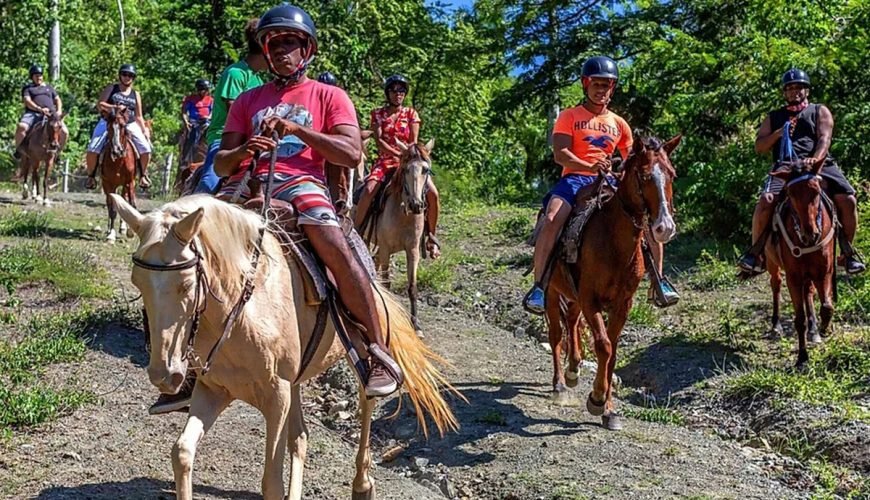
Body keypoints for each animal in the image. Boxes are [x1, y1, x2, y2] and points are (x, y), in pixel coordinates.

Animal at [99, 106, 138, 241]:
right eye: (108, 127)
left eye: (122, 125)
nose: (117, 150)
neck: (119, 161)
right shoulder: (109, 184)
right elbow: (112, 209)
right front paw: (111, 234)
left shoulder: (130, 182)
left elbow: (131, 204)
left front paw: (130, 231)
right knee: (110, 204)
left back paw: (123, 227)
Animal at [112, 193, 460, 500]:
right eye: (137, 282)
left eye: (186, 285)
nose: (164, 375)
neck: (245, 308)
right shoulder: (213, 391)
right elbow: (182, 453)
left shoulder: (276, 399)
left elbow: (271, 484)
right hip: (293, 381)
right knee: (301, 437)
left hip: (362, 352)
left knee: (366, 404)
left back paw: (363, 484)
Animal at [368, 139, 436, 338]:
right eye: (405, 169)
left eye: (425, 170)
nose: (416, 205)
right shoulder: (385, 248)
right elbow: (387, 284)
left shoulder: (413, 250)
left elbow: (412, 287)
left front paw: (416, 325)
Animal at [544, 134, 680, 430]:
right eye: (643, 175)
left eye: (672, 174)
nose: (664, 227)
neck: (615, 244)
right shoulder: (590, 299)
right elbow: (604, 345)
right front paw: (596, 399)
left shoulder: (622, 304)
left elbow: (613, 352)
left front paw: (609, 409)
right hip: (551, 290)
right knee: (557, 333)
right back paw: (559, 385)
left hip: (573, 296)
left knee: (572, 321)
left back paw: (573, 369)